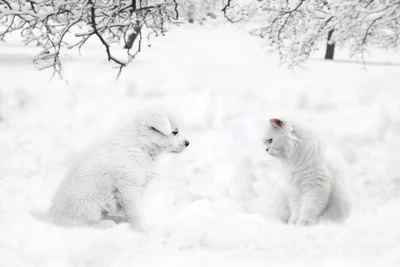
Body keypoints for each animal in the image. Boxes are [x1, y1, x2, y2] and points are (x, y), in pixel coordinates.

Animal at [49, 105, 190, 231]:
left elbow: (137, 209)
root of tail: (53, 217)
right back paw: (106, 224)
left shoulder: (138, 188)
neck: (140, 145)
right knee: (81, 225)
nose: (188, 143)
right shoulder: (129, 187)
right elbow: (136, 211)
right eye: (175, 132)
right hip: (88, 206)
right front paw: (141, 229)